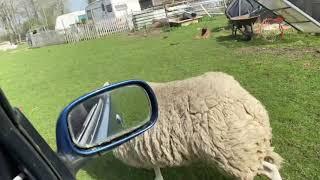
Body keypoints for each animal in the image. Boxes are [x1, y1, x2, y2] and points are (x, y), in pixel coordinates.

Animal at [112, 72, 282, 180]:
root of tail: (252, 107)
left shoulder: (144, 148)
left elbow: (155, 167)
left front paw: (158, 177)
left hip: (237, 155)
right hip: (248, 150)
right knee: (272, 169)